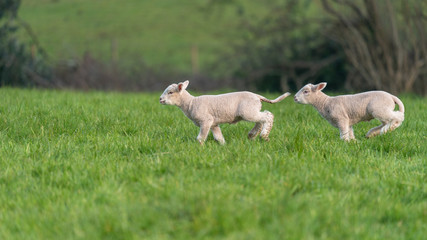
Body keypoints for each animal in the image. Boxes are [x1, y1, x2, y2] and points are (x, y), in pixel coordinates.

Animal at [159, 80, 292, 144]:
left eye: (170, 92)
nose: (160, 99)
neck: (191, 103)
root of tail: (257, 96)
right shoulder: (213, 124)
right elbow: (219, 138)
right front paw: (224, 147)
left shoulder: (206, 120)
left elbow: (201, 138)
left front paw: (199, 148)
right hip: (252, 111)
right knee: (260, 120)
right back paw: (252, 135)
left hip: (248, 112)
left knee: (268, 116)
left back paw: (264, 136)